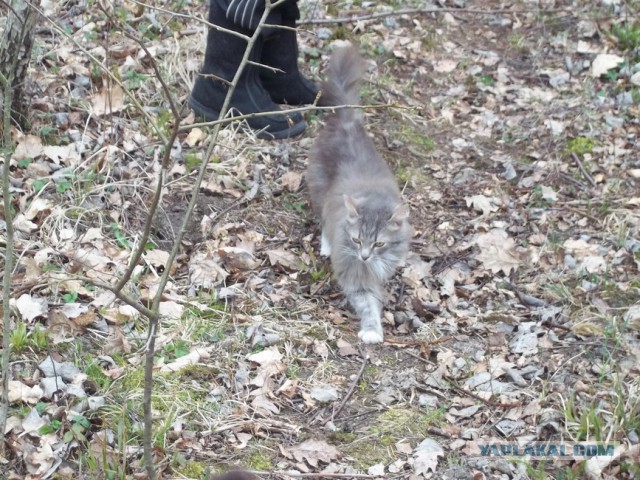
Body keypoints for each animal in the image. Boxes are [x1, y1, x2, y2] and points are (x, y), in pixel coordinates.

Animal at [308, 45, 412, 344]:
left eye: (379, 244)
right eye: (356, 240)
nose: (364, 257)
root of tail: (347, 120)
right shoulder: (355, 275)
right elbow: (367, 304)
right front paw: (372, 331)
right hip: (319, 189)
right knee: (322, 219)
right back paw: (326, 244)